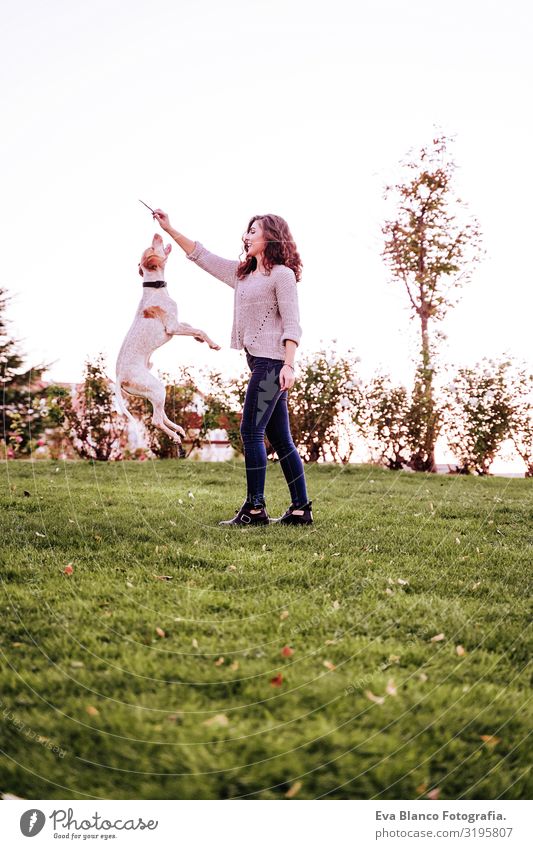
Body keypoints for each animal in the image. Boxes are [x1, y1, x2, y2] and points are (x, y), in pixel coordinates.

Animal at [114, 232, 218, 444]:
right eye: (152, 247)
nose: (157, 233)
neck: (155, 288)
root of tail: (119, 377)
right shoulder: (172, 327)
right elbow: (199, 330)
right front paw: (212, 343)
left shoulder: (178, 323)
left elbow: (191, 326)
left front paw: (199, 340)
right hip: (156, 388)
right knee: (156, 420)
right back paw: (174, 436)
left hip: (152, 393)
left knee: (162, 415)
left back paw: (178, 429)